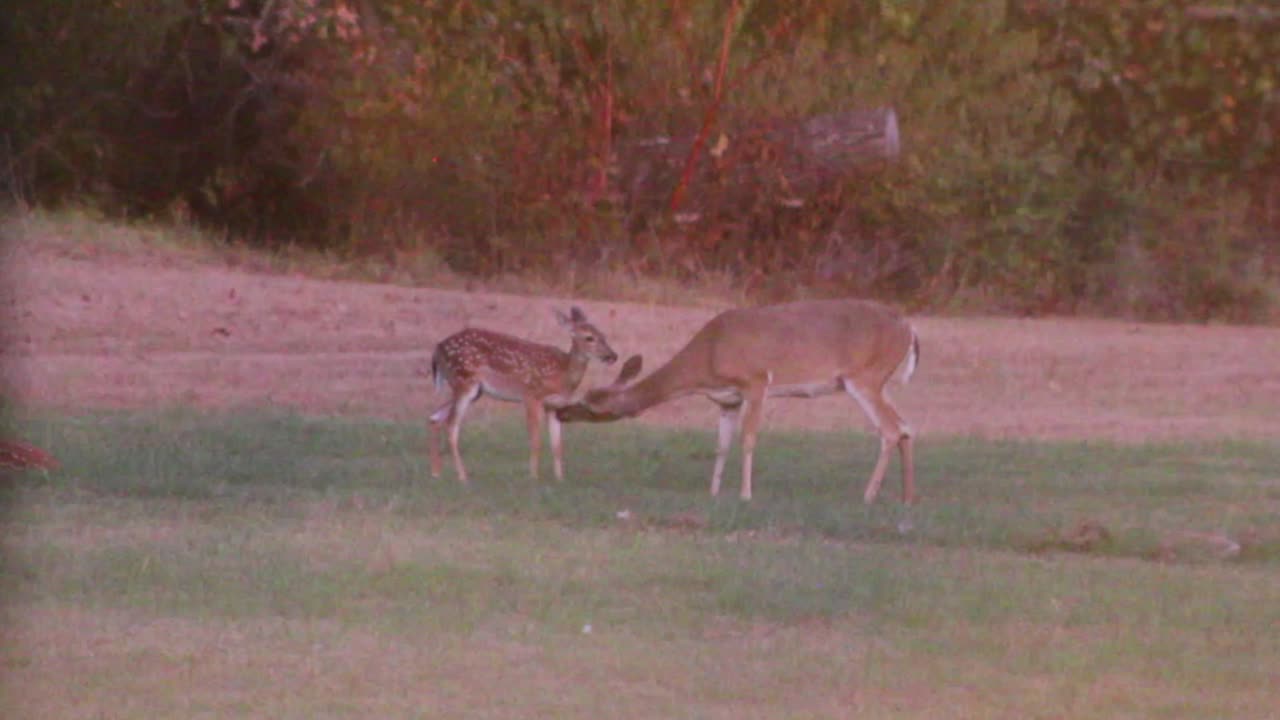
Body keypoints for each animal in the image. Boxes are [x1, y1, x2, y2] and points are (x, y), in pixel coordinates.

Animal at [430, 307, 619, 481]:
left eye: (603, 335)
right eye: (589, 337)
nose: (612, 356)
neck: (563, 373)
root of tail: (438, 348)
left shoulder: (554, 405)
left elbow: (557, 445)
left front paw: (560, 479)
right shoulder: (531, 395)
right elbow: (535, 439)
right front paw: (533, 477)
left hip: (474, 390)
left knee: (435, 416)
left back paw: (436, 473)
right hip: (465, 380)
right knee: (451, 424)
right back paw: (463, 477)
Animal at [560, 299, 921, 502]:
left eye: (592, 406)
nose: (562, 413)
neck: (709, 356)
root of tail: (909, 328)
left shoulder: (756, 381)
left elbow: (748, 438)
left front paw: (745, 495)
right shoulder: (727, 400)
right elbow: (722, 445)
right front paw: (714, 492)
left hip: (864, 378)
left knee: (891, 429)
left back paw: (868, 496)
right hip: (880, 382)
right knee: (905, 426)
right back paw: (906, 499)